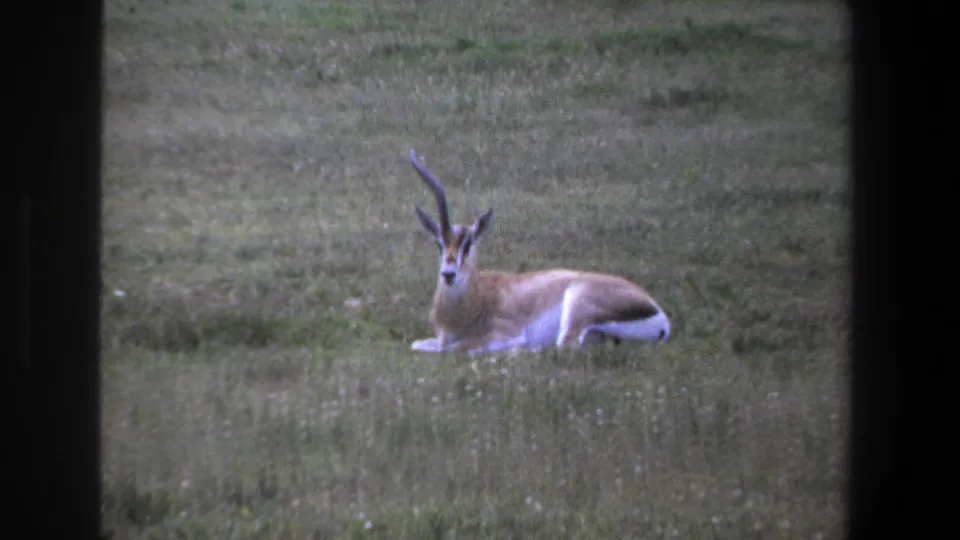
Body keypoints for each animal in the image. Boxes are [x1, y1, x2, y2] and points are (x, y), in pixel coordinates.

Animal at [407, 148, 671, 356]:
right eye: (439, 244)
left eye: (468, 244)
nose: (448, 274)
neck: (478, 297)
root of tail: (658, 313)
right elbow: (418, 345)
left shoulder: (503, 334)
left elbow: (454, 349)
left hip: (576, 305)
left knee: (564, 346)